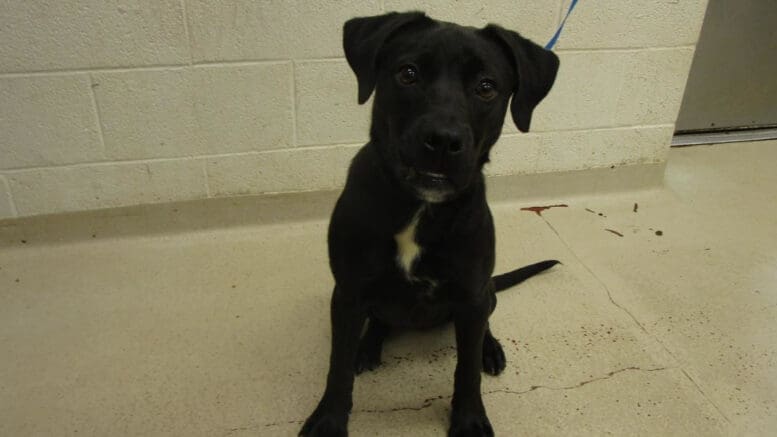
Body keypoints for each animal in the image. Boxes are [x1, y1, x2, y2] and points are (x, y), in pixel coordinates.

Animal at [300, 11, 560, 434]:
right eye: (408, 73)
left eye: (486, 87)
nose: (442, 140)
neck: (420, 207)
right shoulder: (349, 293)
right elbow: (337, 367)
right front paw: (329, 420)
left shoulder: (471, 294)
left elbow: (466, 370)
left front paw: (469, 418)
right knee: (379, 321)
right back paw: (367, 346)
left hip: (483, 293)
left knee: (487, 317)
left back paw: (490, 349)